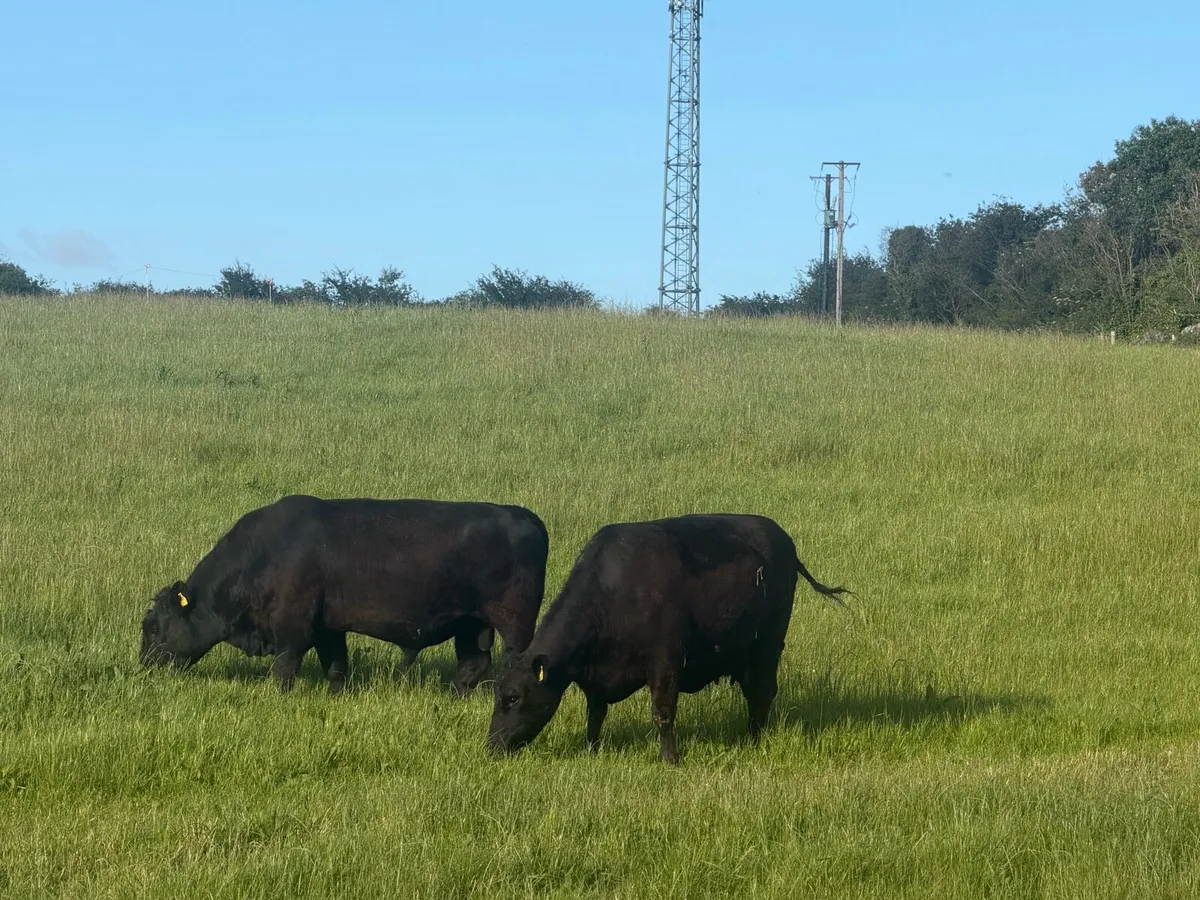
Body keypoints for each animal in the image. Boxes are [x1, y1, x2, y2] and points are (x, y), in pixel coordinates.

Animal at [140, 495, 548, 695]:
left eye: (154, 628)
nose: (144, 667)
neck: (263, 553)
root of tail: (526, 516)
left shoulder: (293, 630)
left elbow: (285, 670)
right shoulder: (329, 629)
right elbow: (336, 668)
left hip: (513, 624)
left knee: (512, 661)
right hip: (470, 625)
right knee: (472, 665)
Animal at [487, 513, 849, 764]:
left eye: (513, 697)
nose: (492, 746)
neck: (614, 589)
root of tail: (783, 539)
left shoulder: (664, 662)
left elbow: (662, 712)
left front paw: (670, 758)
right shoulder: (596, 678)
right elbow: (595, 713)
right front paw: (591, 748)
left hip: (767, 645)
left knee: (762, 692)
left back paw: (753, 739)